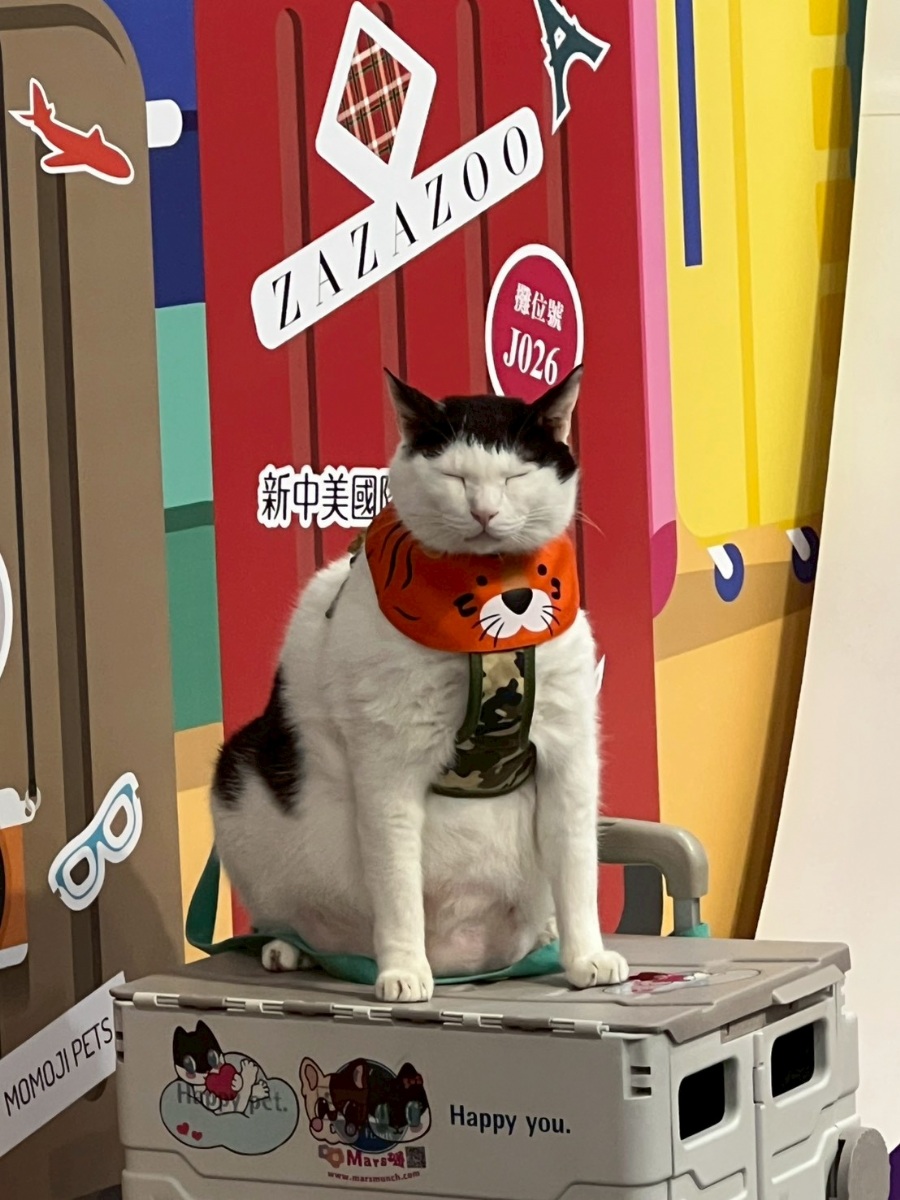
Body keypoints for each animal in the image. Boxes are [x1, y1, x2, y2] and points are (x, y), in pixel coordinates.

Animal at [212, 365, 628, 1002]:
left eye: (515, 475)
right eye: (455, 476)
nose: (484, 512)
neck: (484, 607)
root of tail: (469, 957)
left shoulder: (570, 754)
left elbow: (579, 869)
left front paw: (586, 956)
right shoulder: (389, 770)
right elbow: (397, 885)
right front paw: (404, 969)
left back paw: (544, 936)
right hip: (236, 780)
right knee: (287, 917)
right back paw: (290, 948)